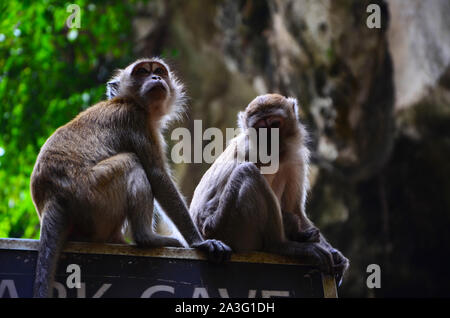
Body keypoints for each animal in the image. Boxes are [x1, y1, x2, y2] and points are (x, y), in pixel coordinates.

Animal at [30, 57, 232, 298]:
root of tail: (52, 197)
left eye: (159, 71)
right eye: (142, 71)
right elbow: (157, 177)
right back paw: (148, 239)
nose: (155, 77)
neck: (128, 100)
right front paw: (199, 243)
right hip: (91, 195)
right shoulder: (135, 120)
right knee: (132, 162)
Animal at [189, 93, 348, 284]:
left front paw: (334, 253)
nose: (270, 141)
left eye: (274, 124)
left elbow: (293, 209)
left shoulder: (295, 158)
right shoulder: (252, 152)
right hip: (223, 227)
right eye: (261, 128)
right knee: (247, 172)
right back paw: (282, 246)